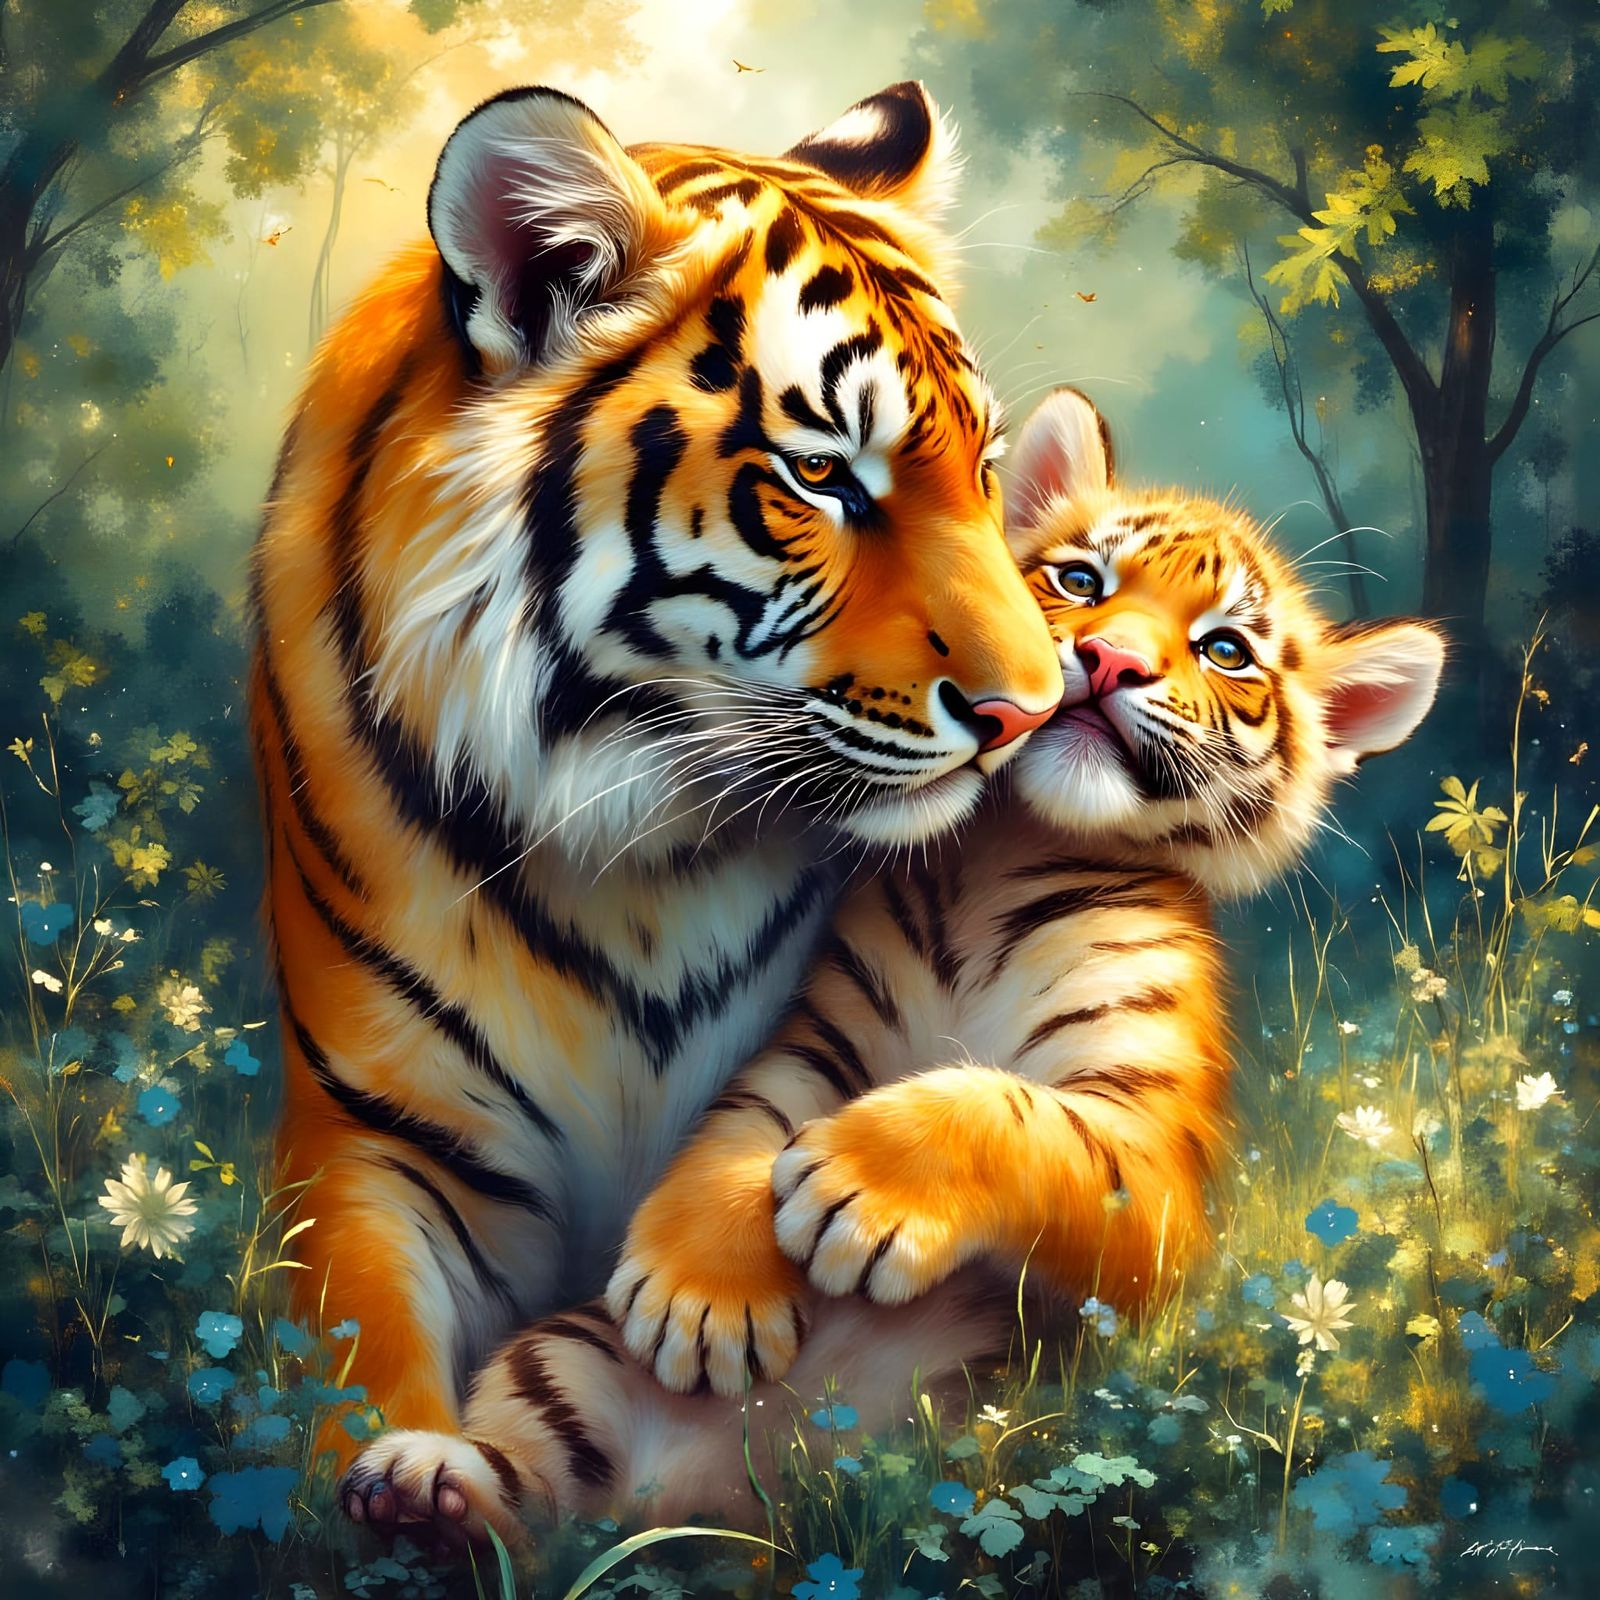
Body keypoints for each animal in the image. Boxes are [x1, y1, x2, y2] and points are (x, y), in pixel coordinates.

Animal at [249, 76, 1066, 1483]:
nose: (1030, 709)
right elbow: (360, 1351)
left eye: (984, 465)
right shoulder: (375, 1138)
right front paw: (409, 1478)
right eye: (820, 474)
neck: (632, 833)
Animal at [332, 386, 1442, 1547]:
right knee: (527, 1501)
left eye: (1224, 648)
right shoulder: (820, 1031)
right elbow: (737, 1129)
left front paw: (862, 1191)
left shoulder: (1153, 1162)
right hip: (565, 1356)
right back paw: (419, 1481)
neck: (1009, 853)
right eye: (1080, 582)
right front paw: (700, 1293)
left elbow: (1010, 1108)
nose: (1109, 662)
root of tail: (735, 1508)